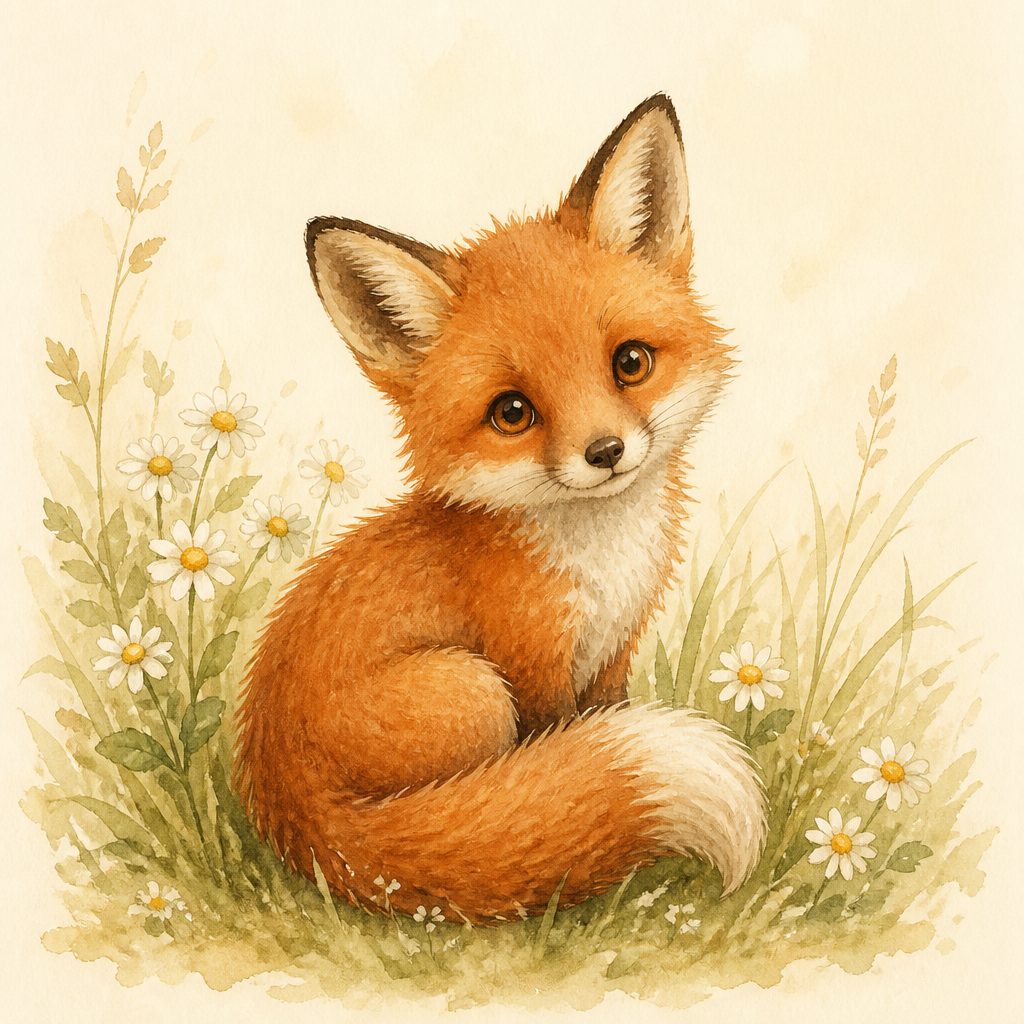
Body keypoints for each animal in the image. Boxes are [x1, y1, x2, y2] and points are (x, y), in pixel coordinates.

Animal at [233, 95, 766, 924]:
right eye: (513, 412)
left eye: (630, 363)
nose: (606, 451)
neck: (601, 560)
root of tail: (291, 817)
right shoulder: (530, 659)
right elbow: (548, 763)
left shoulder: (614, 652)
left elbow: (602, 719)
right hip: (471, 690)